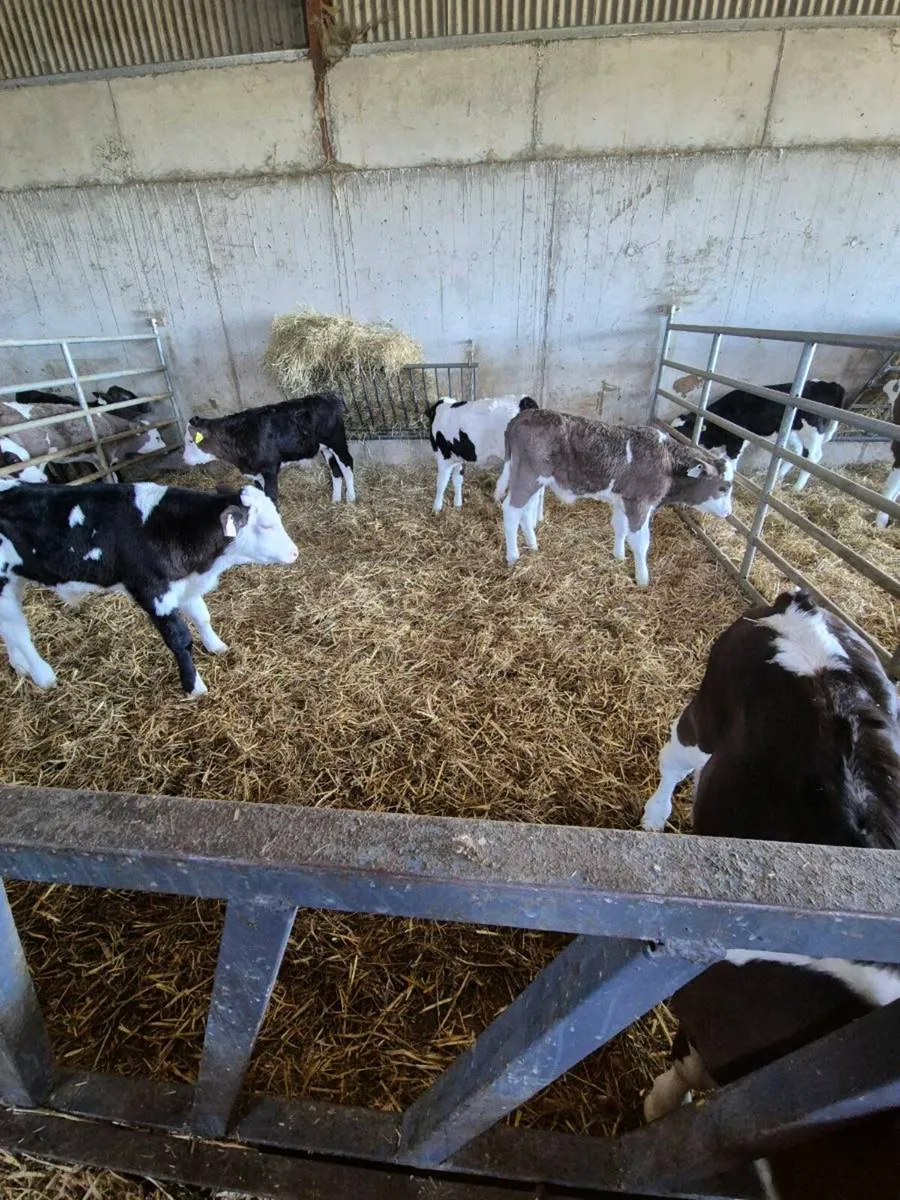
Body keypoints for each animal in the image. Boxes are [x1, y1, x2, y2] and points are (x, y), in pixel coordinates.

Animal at [0, 480, 298, 697]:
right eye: (266, 525)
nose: (295, 552)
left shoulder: (182, 585)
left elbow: (202, 616)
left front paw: (217, 646)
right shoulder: (153, 593)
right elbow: (180, 639)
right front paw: (194, 687)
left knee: (9, 629)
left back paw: (20, 666)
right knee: (20, 633)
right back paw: (43, 676)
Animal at [183, 392, 354, 508]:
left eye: (191, 441)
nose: (183, 459)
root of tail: (328, 395)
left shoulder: (269, 469)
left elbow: (271, 497)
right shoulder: (255, 473)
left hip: (337, 441)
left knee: (347, 465)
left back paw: (351, 499)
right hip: (325, 448)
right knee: (335, 470)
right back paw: (335, 500)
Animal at [498, 410, 732, 586]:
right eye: (723, 488)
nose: (728, 512)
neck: (667, 462)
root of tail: (520, 417)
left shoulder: (624, 500)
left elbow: (620, 528)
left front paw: (618, 556)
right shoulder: (640, 503)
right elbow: (640, 541)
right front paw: (643, 578)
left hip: (534, 480)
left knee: (525, 512)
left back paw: (532, 544)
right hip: (527, 476)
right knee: (511, 511)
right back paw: (513, 556)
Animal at [640, 591, 900, 1197]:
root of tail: (802, 604)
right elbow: (682, 1072)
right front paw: (656, 1110)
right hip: (703, 715)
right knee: (673, 758)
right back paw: (654, 817)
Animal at [672, 379, 847, 491]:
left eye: (681, 433)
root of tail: (831, 385)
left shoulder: (736, 442)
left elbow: (732, 463)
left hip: (812, 430)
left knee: (813, 456)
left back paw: (797, 487)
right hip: (792, 432)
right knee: (797, 452)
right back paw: (779, 477)